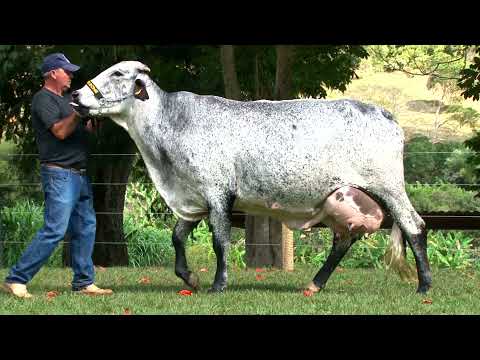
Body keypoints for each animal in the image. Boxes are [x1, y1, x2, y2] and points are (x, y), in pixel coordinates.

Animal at [71, 60, 432, 294]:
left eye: (118, 73)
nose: (75, 95)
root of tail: (386, 114)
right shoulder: (194, 199)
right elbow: (177, 237)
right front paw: (190, 279)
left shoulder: (218, 194)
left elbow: (220, 242)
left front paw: (218, 285)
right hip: (343, 198)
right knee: (343, 240)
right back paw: (314, 284)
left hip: (388, 187)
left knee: (414, 226)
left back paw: (424, 286)